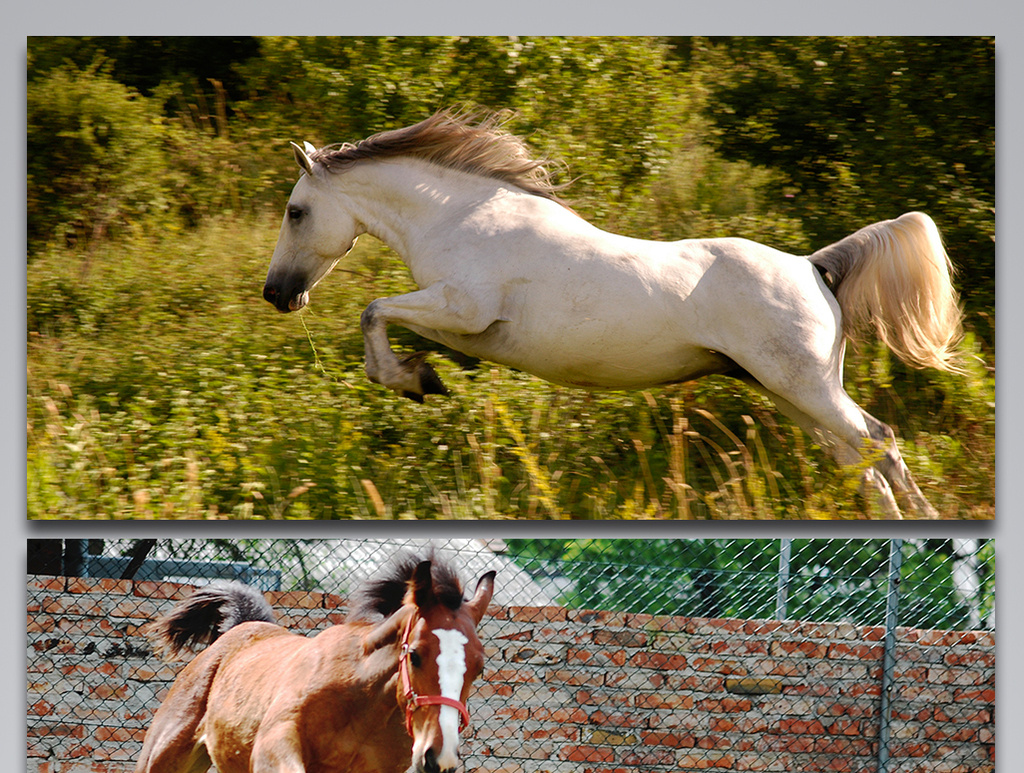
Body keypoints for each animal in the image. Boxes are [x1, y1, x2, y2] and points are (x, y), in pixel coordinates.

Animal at [135, 552, 495, 773]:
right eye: (415, 655)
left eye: (478, 667)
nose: (439, 756)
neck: (364, 708)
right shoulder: (273, 745)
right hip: (160, 757)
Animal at [262, 109, 958, 520]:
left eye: (296, 211)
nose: (278, 294)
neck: (460, 217)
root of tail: (813, 267)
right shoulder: (461, 328)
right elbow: (391, 325)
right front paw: (419, 377)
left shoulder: (464, 309)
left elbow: (372, 311)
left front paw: (409, 380)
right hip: (788, 391)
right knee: (859, 463)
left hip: (804, 387)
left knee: (879, 442)